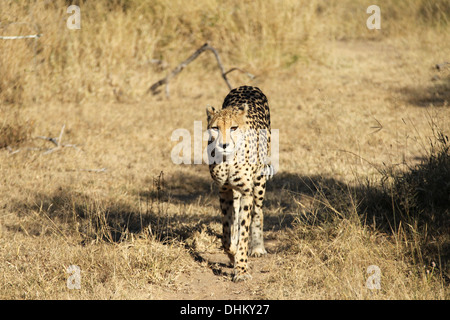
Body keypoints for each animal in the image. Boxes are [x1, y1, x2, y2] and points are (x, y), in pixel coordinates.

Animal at [206, 85, 272, 282]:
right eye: (215, 128)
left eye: (233, 128)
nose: (224, 145)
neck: (228, 160)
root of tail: (247, 86)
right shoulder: (224, 190)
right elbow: (227, 230)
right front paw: (232, 254)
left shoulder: (246, 191)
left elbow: (244, 231)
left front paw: (241, 269)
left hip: (259, 181)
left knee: (258, 212)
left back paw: (257, 247)